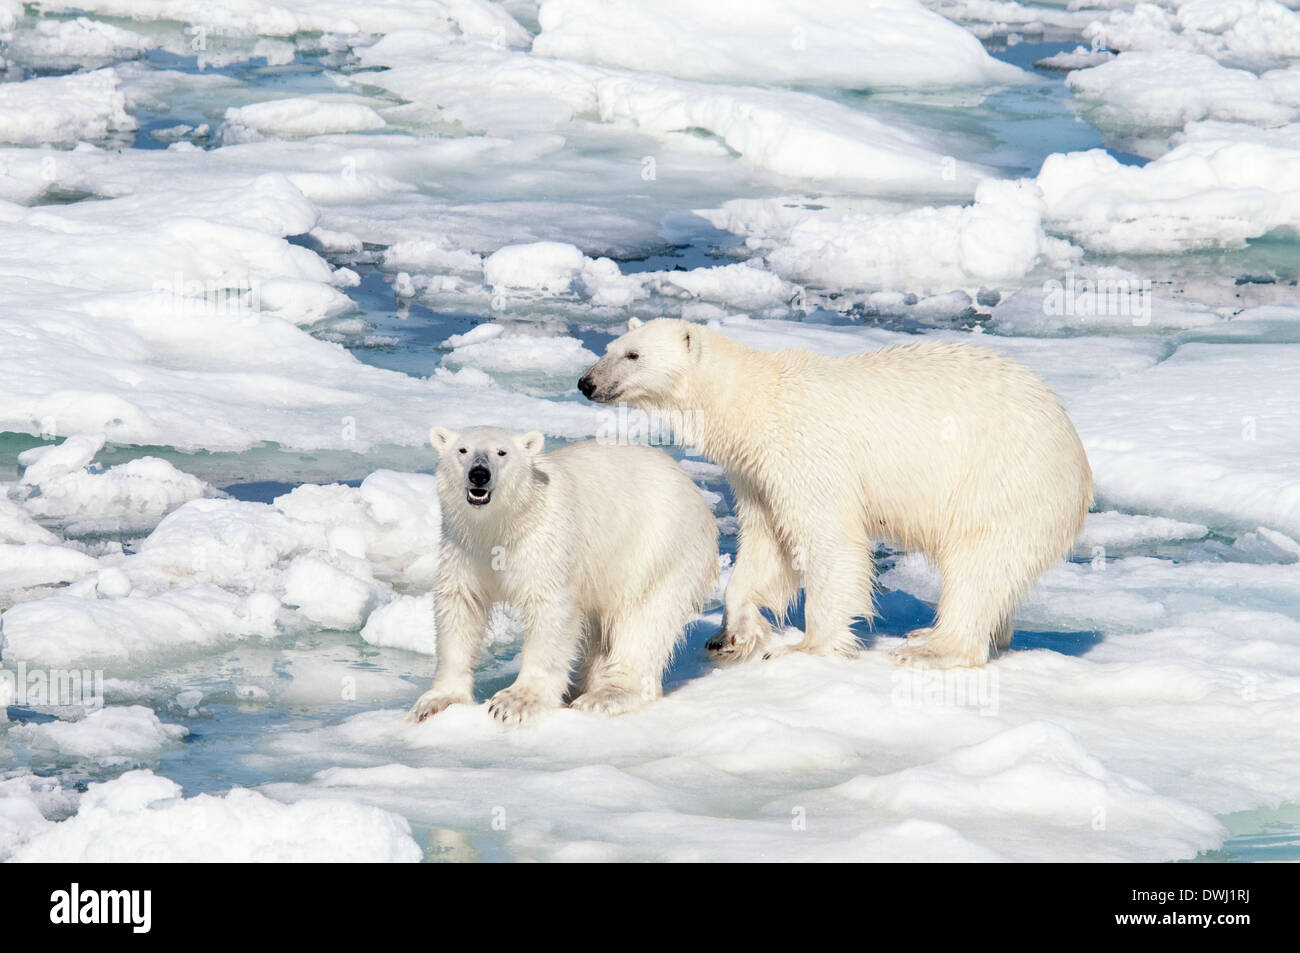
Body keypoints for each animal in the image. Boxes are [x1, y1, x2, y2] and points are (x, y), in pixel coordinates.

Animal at [408, 423, 717, 722]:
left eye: (501, 452)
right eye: (463, 450)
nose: (479, 474)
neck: (506, 523)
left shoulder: (545, 542)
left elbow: (550, 610)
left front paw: (514, 702)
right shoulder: (464, 548)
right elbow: (461, 605)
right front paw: (436, 701)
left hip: (659, 549)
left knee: (645, 619)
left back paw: (604, 695)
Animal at [574, 319, 1092, 670]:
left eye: (633, 355)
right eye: (609, 348)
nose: (586, 382)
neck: (756, 402)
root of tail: (1077, 458)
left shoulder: (805, 452)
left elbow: (827, 538)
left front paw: (806, 646)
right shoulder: (757, 474)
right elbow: (766, 546)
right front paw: (730, 636)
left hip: (1003, 482)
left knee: (978, 566)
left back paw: (931, 646)